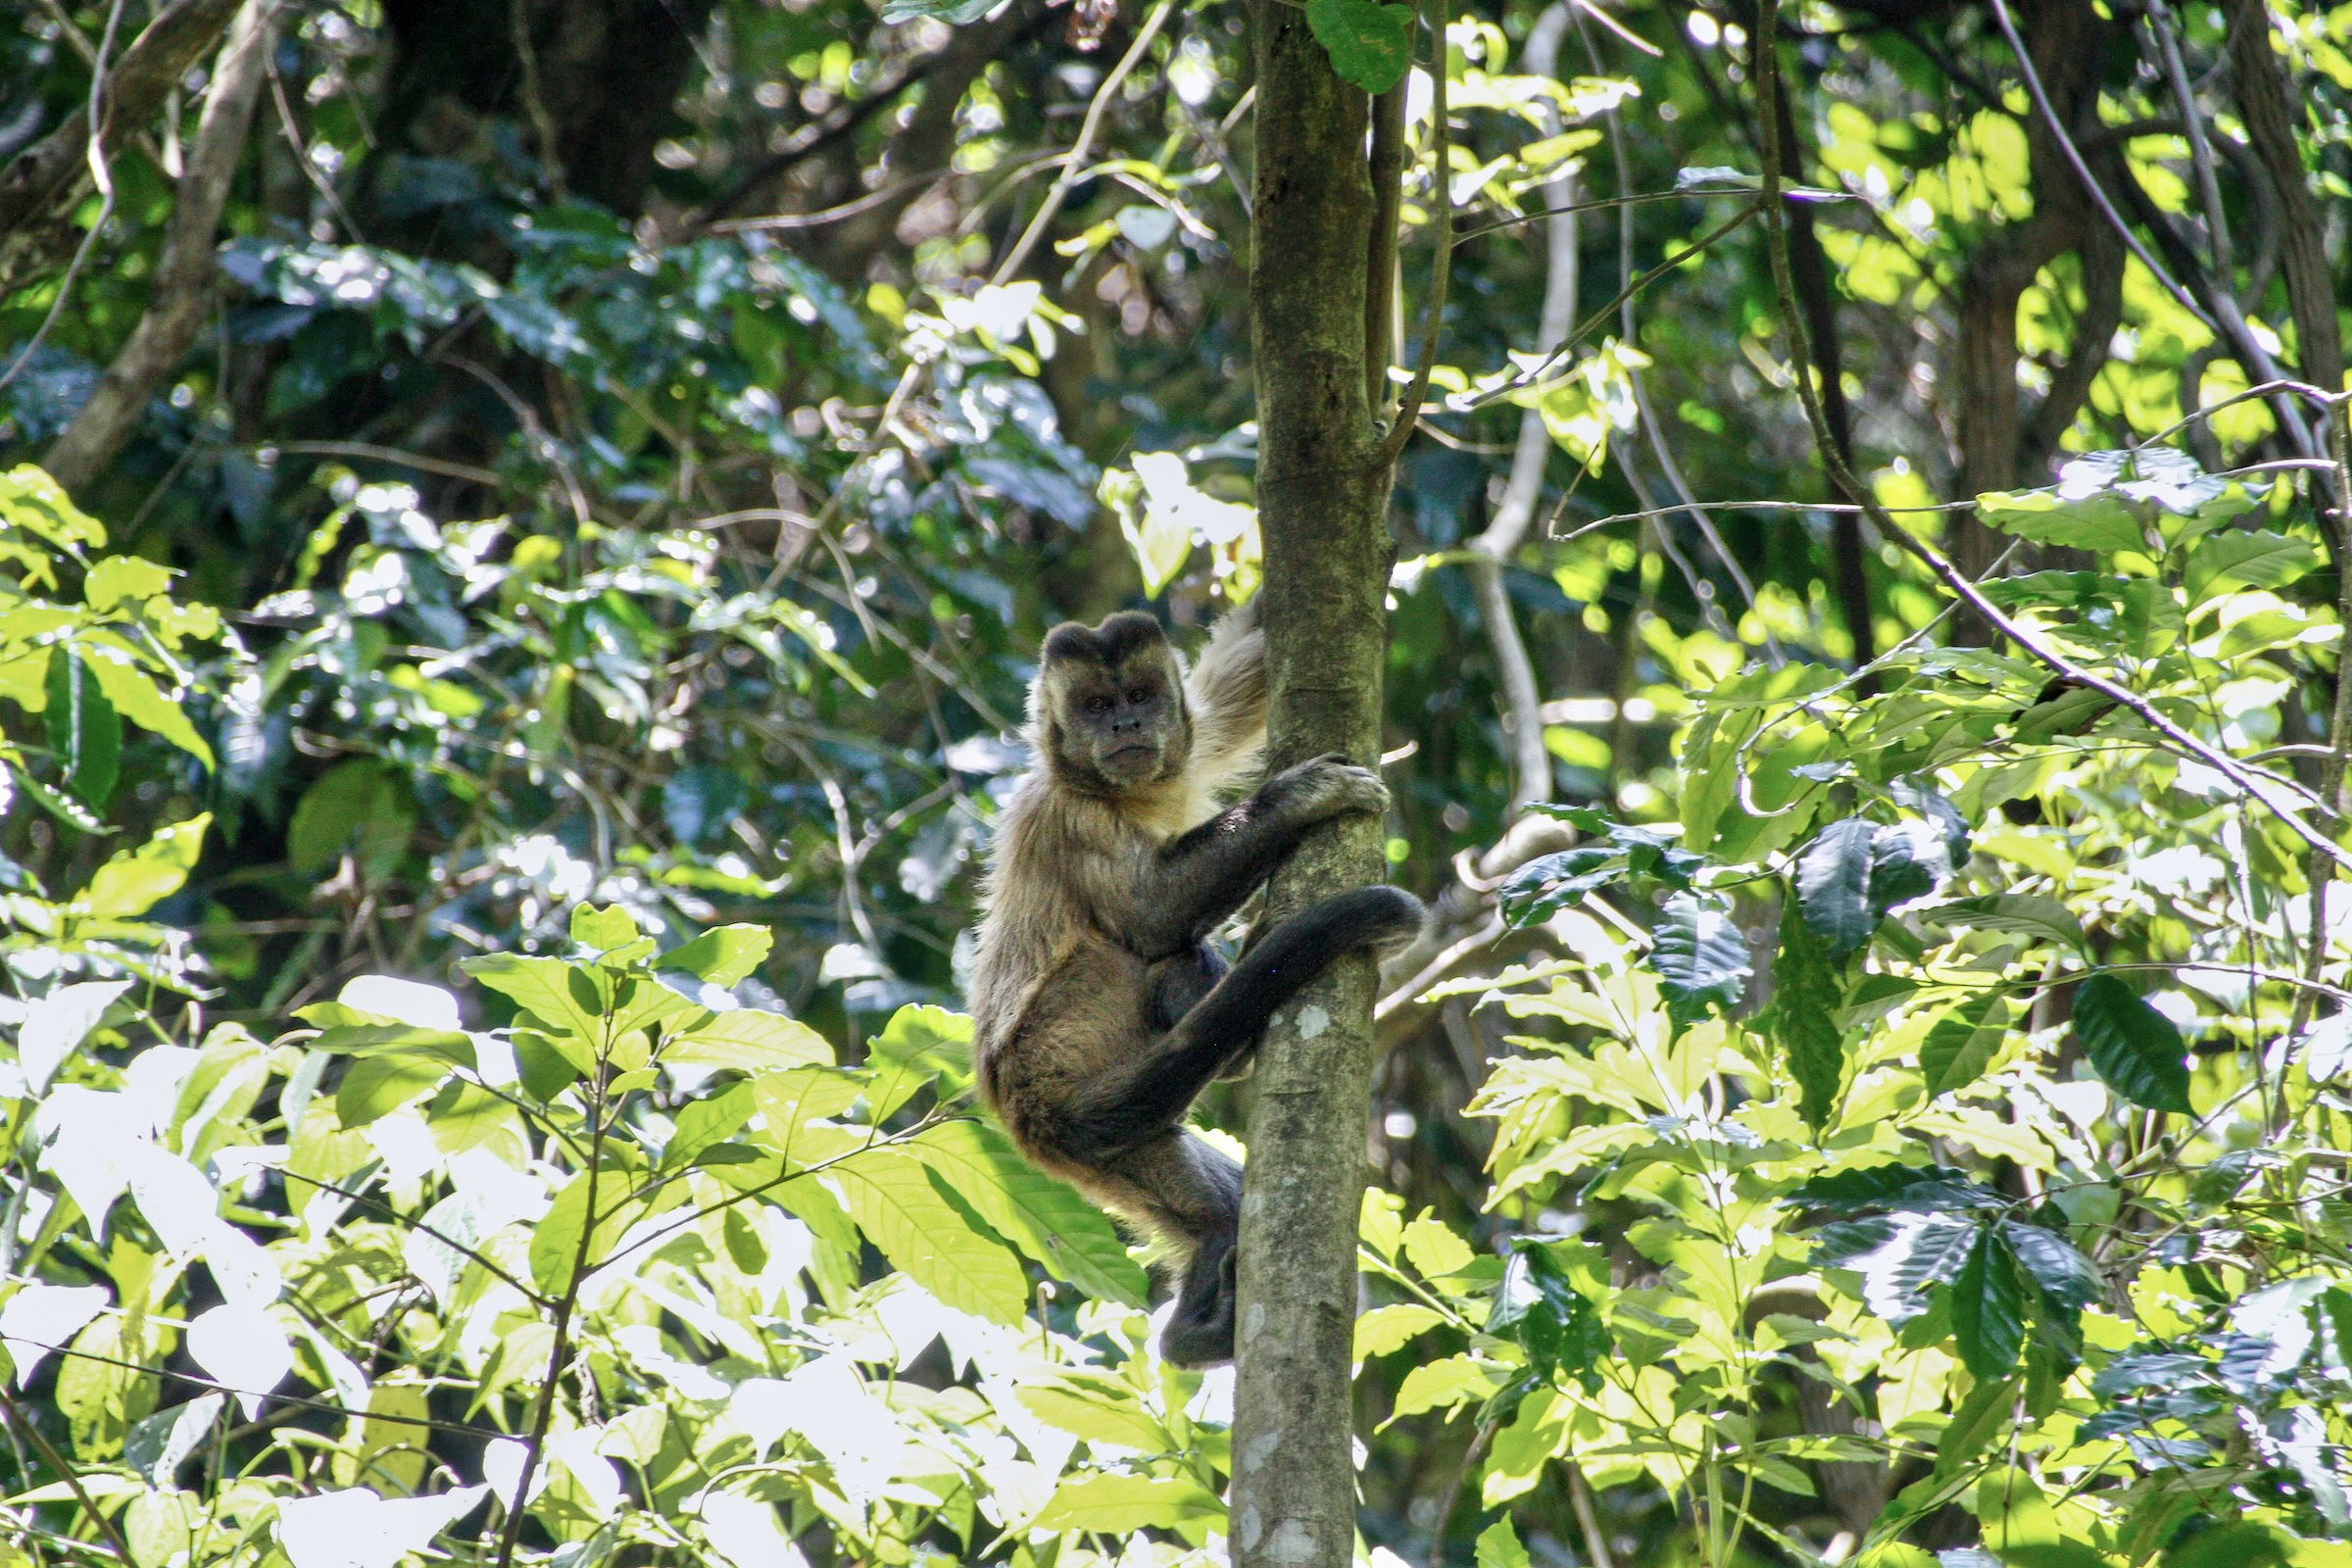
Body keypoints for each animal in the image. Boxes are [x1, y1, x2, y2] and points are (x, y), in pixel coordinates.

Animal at [967, 601, 1425, 1367]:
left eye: (1139, 695)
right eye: (1096, 707)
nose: (1124, 726)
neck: (1126, 796)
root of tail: (1025, 1113)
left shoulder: (1191, 741)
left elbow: (1243, 675)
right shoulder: (1067, 816)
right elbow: (1153, 914)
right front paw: (1299, 798)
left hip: (1121, 1152)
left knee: (1220, 1209)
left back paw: (1193, 1326)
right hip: (1063, 1033)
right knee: (1139, 950)